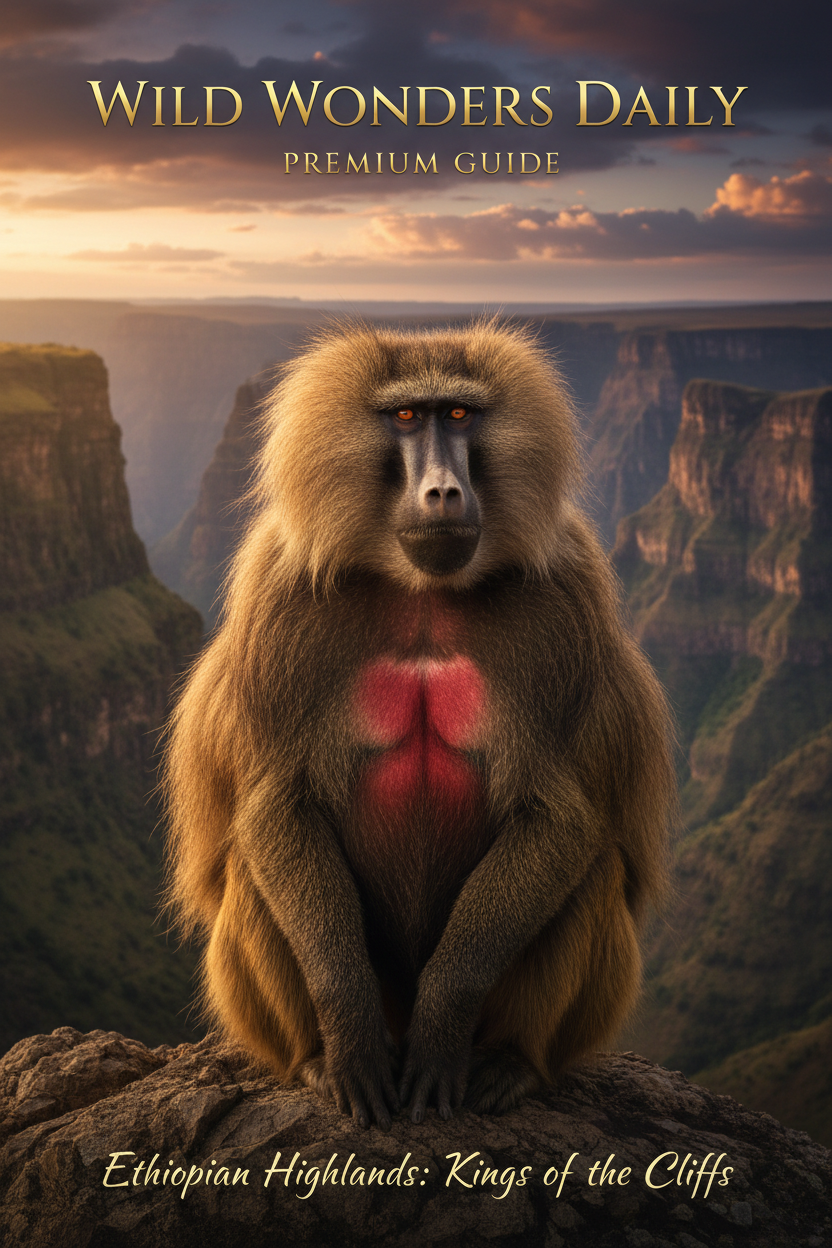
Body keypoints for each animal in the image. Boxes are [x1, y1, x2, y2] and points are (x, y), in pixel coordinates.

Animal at [164, 319, 676, 1130]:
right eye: (406, 417)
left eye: (460, 416)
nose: (442, 492)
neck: (422, 590)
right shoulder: (280, 603)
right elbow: (275, 808)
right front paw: (348, 1042)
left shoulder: (565, 605)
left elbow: (562, 818)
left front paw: (441, 1034)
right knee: (249, 863)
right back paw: (314, 1061)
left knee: (593, 868)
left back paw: (511, 1065)